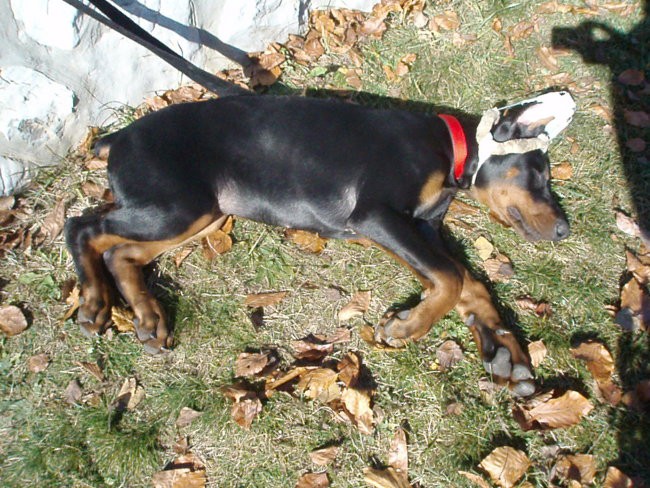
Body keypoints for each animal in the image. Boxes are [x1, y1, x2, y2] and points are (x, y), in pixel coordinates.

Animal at [64, 90, 572, 396]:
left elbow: (470, 282)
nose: (566, 230)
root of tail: (118, 137)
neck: (449, 151)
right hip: (180, 205)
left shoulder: (418, 229)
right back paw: (94, 304)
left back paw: (149, 319)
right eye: (541, 176)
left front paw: (506, 353)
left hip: (205, 213)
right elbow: (450, 278)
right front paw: (406, 327)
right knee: (82, 228)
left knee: (120, 251)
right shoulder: (376, 216)